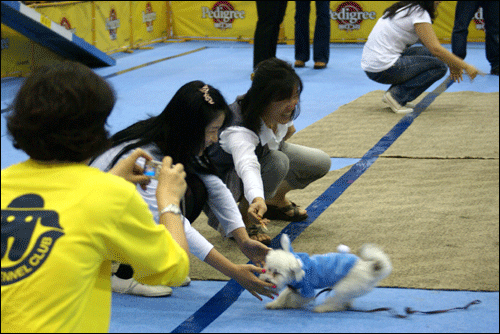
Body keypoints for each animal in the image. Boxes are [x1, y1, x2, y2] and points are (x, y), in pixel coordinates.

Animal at [260, 234, 392, 312]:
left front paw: (289, 305)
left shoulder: (307, 291)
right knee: (345, 299)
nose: (266, 280)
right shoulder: (294, 288)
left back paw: (323, 308)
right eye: (268, 269)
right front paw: (275, 304)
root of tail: (370, 267)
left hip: (344, 286)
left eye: (277, 273)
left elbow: (294, 299)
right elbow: (284, 295)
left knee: (336, 302)